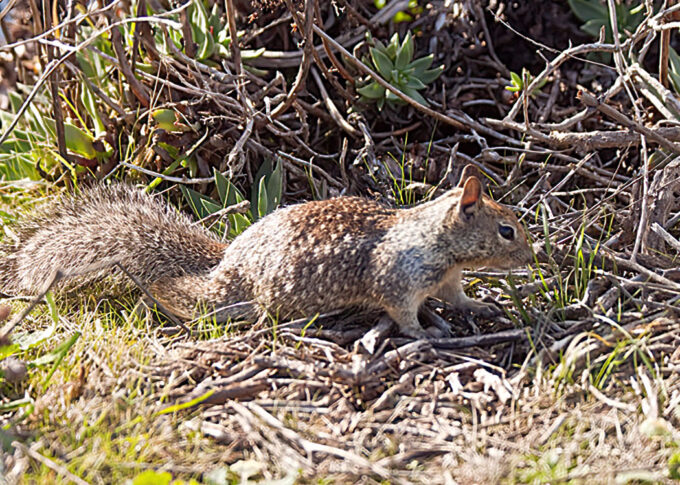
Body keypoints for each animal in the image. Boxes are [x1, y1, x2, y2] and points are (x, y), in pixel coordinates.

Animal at [0, 165, 532, 338]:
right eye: (507, 231)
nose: (533, 257)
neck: (435, 240)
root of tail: (226, 268)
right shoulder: (397, 279)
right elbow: (402, 314)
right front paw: (426, 333)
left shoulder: (447, 279)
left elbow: (460, 299)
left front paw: (484, 306)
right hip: (269, 299)